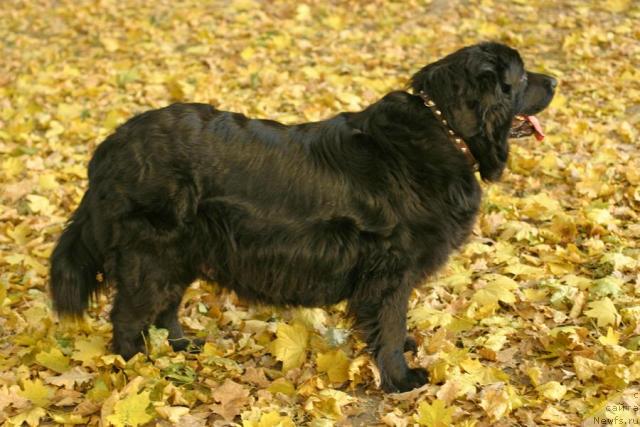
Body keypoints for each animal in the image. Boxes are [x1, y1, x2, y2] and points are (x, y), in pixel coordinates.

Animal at [51, 41, 556, 392]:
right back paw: (133, 366)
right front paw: (400, 378)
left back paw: (179, 347)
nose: (555, 81)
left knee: (165, 305)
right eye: (520, 76)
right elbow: (391, 321)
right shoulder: (392, 268)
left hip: (181, 250)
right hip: (151, 252)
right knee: (129, 315)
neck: (444, 127)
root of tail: (109, 148)